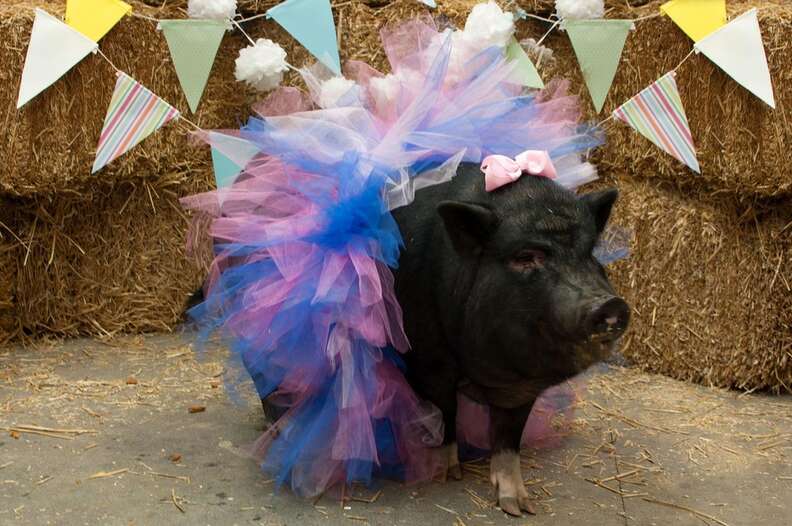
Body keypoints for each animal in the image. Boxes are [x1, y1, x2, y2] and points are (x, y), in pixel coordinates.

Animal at [391, 163, 629, 516]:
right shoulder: (427, 356)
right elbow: (444, 412)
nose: (609, 304)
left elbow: (509, 436)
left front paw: (519, 507)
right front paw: (448, 473)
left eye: (589, 254)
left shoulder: (522, 386)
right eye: (525, 257)